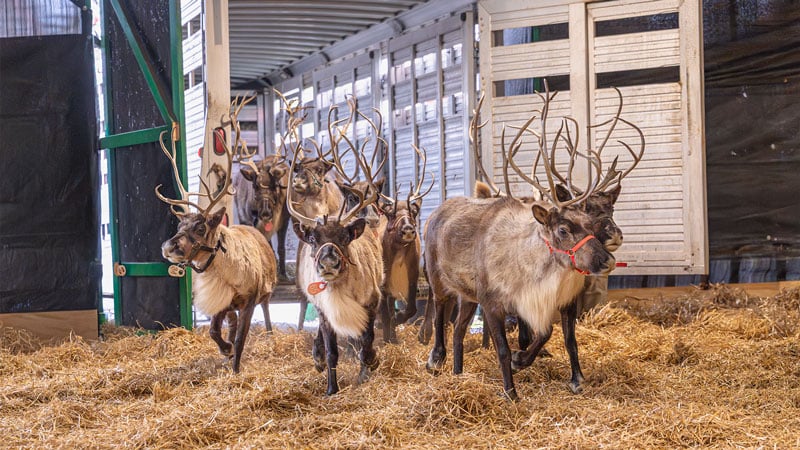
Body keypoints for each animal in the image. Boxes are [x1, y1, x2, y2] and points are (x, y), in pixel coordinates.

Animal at [156, 99, 277, 373]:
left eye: (200, 228)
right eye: (180, 224)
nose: (168, 246)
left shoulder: (249, 300)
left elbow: (242, 337)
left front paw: (236, 367)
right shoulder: (222, 302)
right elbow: (214, 331)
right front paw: (226, 350)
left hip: (265, 292)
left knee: (265, 310)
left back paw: (269, 333)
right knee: (230, 325)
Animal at [287, 103, 386, 395]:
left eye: (344, 238)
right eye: (313, 239)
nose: (329, 262)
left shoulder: (373, 300)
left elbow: (368, 339)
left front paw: (370, 365)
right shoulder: (324, 311)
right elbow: (332, 351)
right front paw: (331, 388)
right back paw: (317, 358)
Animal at [424, 86, 644, 400]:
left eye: (594, 221)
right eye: (563, 229)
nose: (608, 257)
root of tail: (437, 211)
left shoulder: (547, 301)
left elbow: (556, 335)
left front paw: (571, 377)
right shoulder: (494, 303)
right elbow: (505, 349)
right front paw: (511, 390)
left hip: (467, 295)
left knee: (459, 330)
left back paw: (457, 375)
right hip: (437, 279)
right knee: (440, 311)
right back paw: (436, 358)